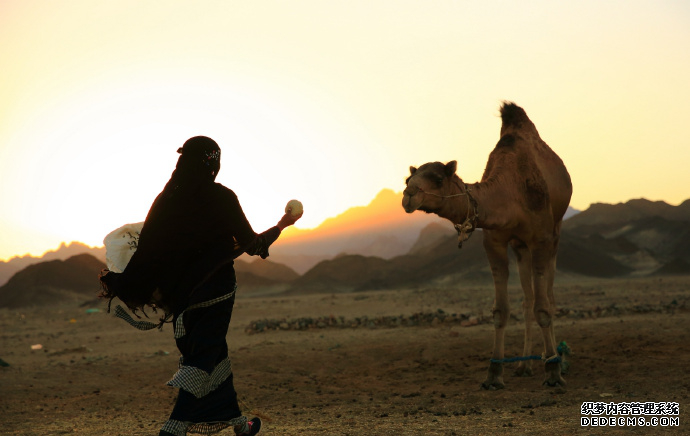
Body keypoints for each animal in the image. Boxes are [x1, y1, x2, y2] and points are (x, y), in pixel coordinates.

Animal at [400, 101, 572, 388]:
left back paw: (557, 360)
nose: (408, 195)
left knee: (548, 295)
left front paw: (553, 372)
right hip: (520, 247)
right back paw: (525, 365)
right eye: (407, 180)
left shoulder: (541, 238)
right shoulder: (495, 242)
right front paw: (494, 373)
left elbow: (543, 307)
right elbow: (501, 310)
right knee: (527, 300)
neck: (511, 193)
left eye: (438, 179)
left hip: (555, 234)